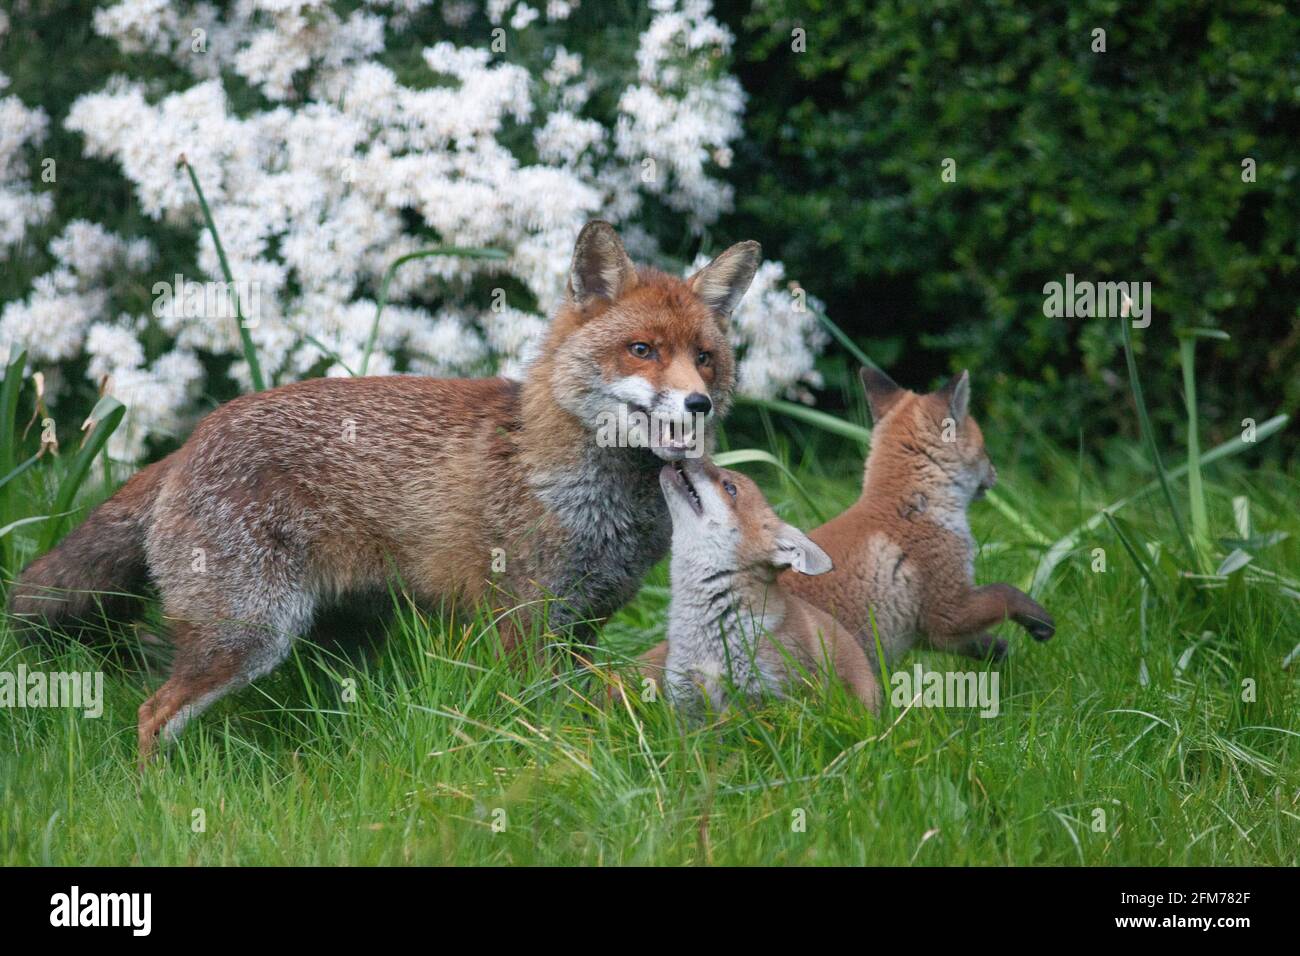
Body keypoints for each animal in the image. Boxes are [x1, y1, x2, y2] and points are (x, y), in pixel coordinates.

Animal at [9, 220, 762, 762]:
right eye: (642, 350)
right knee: (148, 714)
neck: (597, 502)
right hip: (249, 633)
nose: (697, 405)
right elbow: (534, 723)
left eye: (704, 359)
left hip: (337, 637)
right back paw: (155, 796)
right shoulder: (522, 622)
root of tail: (191, 440)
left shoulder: (583, 625)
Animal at [781, 367, 1056, 667]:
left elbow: (979, 643)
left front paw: (1003, 655)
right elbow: (1005, 592)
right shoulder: (948, 609)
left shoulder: (926, 631)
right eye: (985, 449)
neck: (911, 506)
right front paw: (1039, 619)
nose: (995, 473)